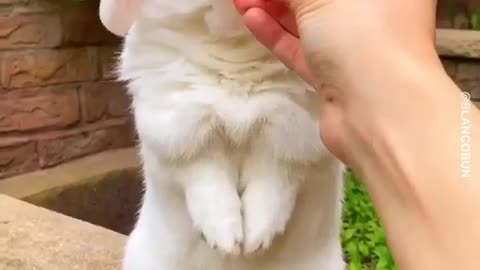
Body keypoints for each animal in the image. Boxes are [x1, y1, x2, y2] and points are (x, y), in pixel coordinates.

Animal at [100, 0, 344, 270]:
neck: (235, 48)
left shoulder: (292, 135)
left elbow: (273, 183)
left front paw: (257, 239)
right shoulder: (181, 132)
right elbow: (207, 180)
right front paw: (225, 241)